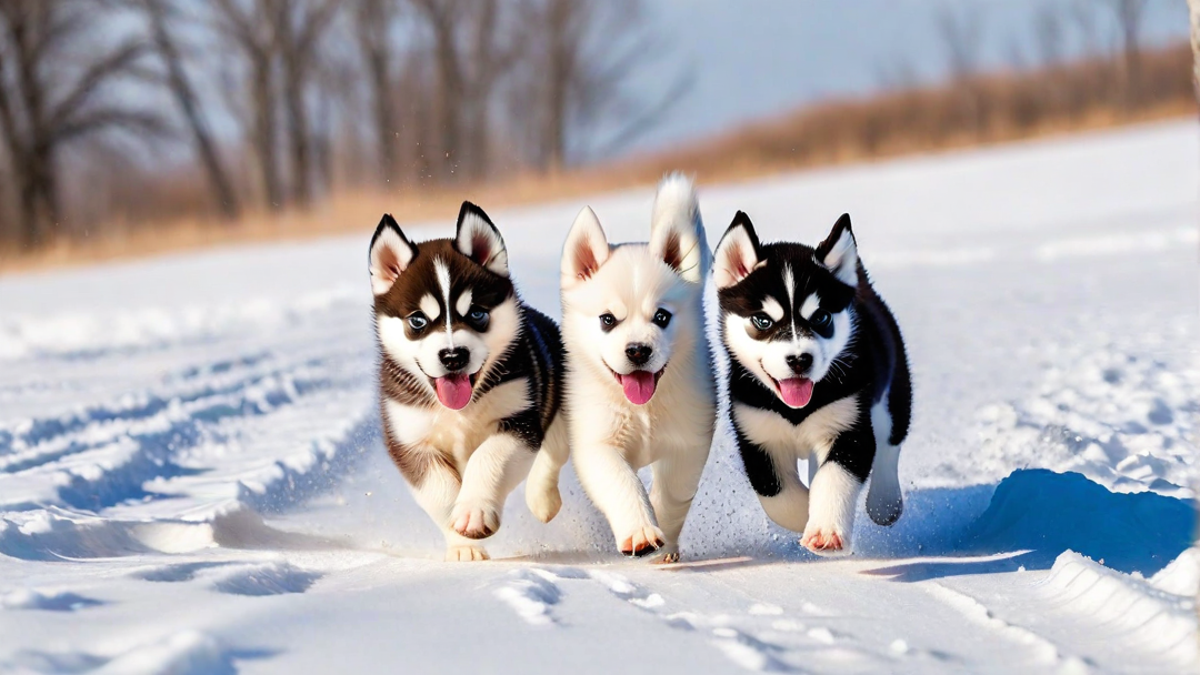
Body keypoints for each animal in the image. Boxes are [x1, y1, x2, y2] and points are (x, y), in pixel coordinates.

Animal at [367, 201, 568, 559]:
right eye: (417, 321)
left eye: (477, 313)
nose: (452, 356)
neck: (459, 409)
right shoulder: (411, 440)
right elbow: (440, 491)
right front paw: (464, 545)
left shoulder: (519, 419)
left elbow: (488, 458)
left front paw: (474, 511)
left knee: (554, 449)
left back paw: (542, 500)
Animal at [559, 174, 715, 562]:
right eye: (607, 319)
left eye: (661, 317)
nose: (638, 351)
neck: (643, 409)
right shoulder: (596, 442)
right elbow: (621, 482)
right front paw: (641, 532)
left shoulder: (689, 441)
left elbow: (672, 494)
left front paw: (663, 541)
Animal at [710, 212, 907, 554]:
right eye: (762, 320)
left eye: (821, 318)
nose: (800, 359)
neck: (796, 409)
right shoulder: (756, 436)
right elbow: (777, 494)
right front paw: (806, 513)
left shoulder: (849, 425)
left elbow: (835, 475)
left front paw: (826, 529)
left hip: (894, 388)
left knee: (891, 440)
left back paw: (885, 502)